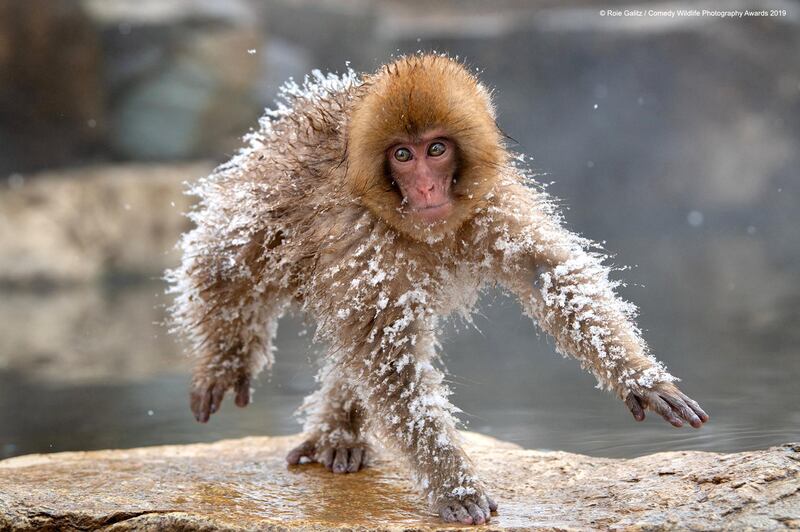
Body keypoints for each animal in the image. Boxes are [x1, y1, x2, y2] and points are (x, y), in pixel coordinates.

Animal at [167, 54, 708, 524]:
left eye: (436, 149)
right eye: (403, 155)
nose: (427, 188)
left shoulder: (491, 204)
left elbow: (548, 275)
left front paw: (640, 378)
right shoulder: (364, 238)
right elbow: (387, 358)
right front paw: (454, 484)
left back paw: (339, 430)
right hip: (262, 189)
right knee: (227, 261)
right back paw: (231, 358)